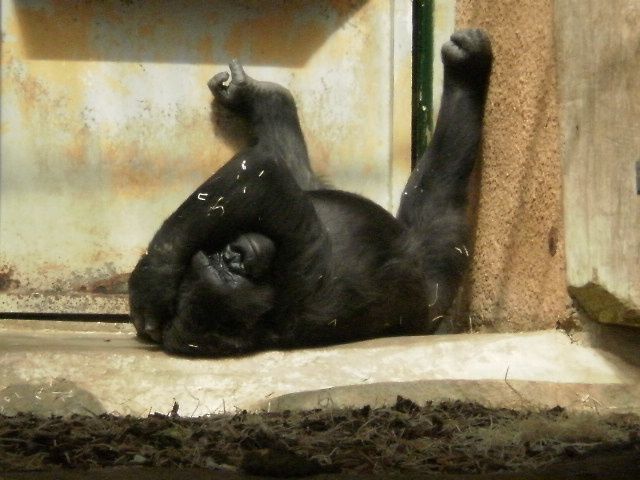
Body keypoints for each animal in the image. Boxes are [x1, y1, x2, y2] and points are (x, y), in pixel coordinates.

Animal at [127, 27, 492, 356]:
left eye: (223, 262)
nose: (237, 257)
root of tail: (431, 317)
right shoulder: (301, 260)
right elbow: (264, 177)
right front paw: (155, 279)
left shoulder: (298, 258)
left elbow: (261, 176)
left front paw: (151, 280)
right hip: (435, 281)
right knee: (442, 185)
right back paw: (467, 74)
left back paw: (260, 96)